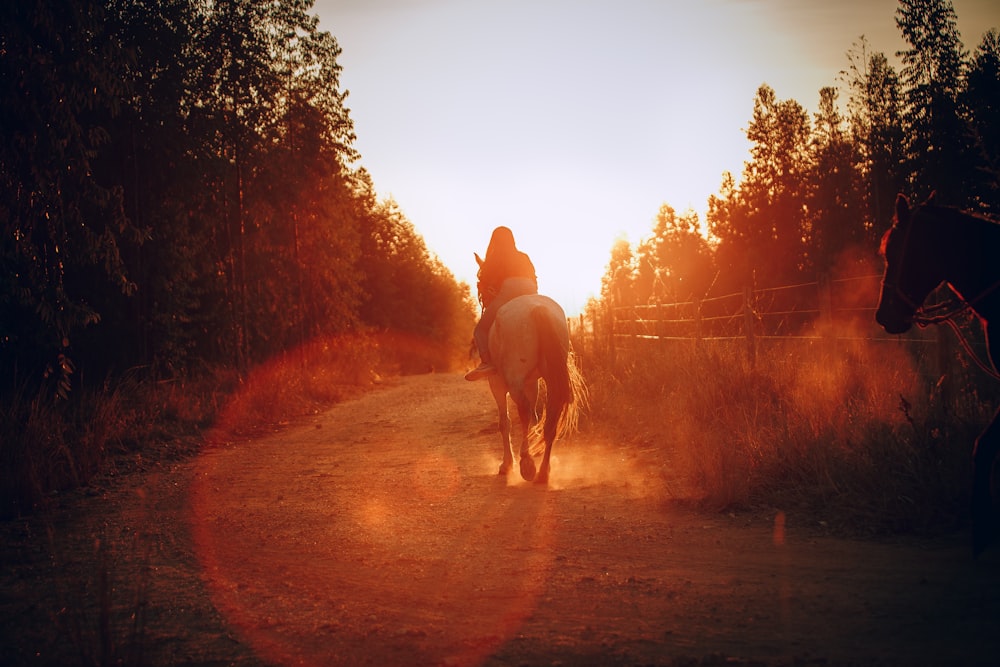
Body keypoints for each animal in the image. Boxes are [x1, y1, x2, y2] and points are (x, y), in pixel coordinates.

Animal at [474, 268, 584, 488]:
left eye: (481, 282)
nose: (483, 301)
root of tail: (537, 309)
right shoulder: (532, 383)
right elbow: (533, 418)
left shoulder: (497, 383)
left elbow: (505, 422)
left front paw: (507, 465)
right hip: (549, 378)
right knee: (551, 417)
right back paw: (542, 473)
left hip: (514, 381)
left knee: (524, 411)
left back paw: (527, 463)